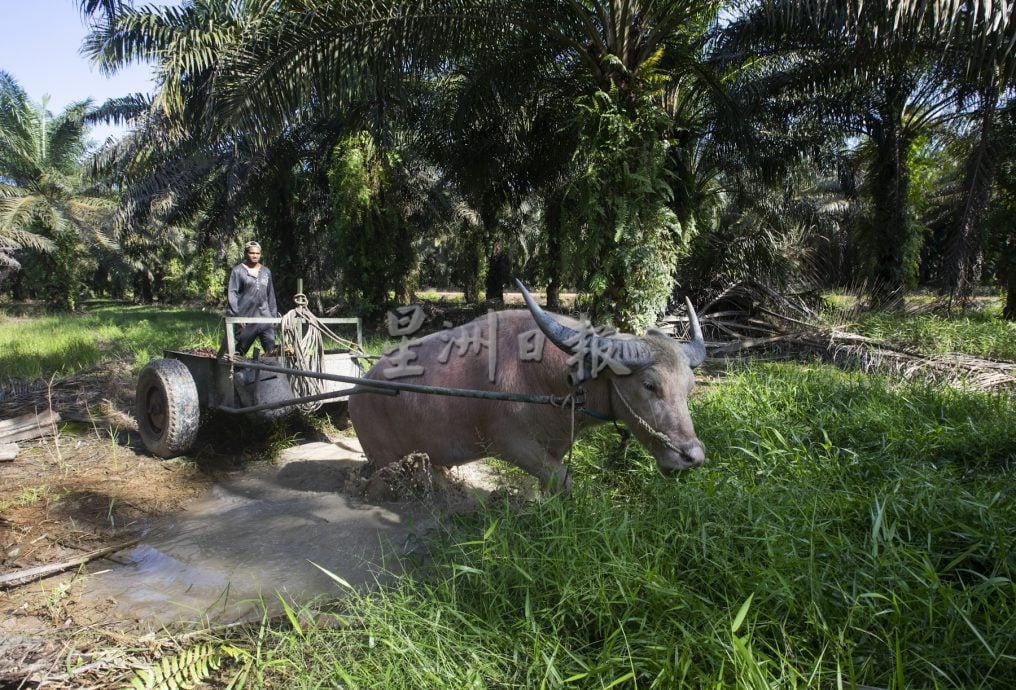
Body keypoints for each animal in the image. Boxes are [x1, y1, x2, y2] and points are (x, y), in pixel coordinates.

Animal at [349, 282, 707, 493]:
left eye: (689, 386)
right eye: (649, 385)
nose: (692, 457)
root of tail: (357, 391)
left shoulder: (556, 445)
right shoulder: (513, 445)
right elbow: (565, 480)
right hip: (384, 459)